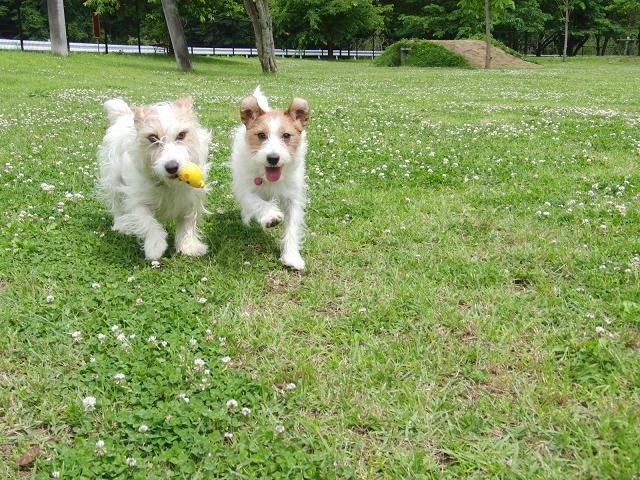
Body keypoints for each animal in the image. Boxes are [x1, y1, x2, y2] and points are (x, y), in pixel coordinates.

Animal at [98, 96, 210, 258]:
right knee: (117, 205)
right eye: (152, 138)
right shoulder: (136, 199)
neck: (169, 185)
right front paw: (155, 246)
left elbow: (187, 223)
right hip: (113, 181)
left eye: (181, 135)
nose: (172, 167)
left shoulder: (191, 199)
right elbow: (147, 222)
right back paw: (121, 225)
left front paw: (189, 246)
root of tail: (123, 115)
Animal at [230, 88, 310, 270]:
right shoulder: (246, 189)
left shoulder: (293, 197)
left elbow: (292, 226)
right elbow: (256, 201)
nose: (273, 158)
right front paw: (271, 216)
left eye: (286, 135)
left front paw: (291, 256)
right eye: (261, 135)